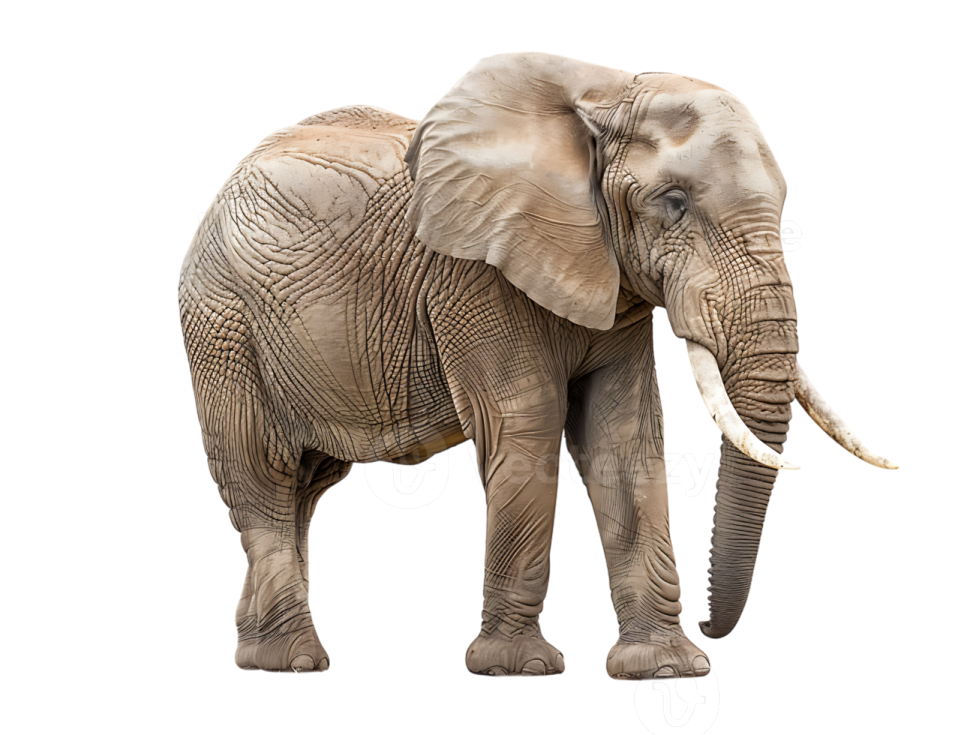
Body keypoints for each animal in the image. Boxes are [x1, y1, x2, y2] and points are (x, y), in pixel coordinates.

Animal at [178, 51, 898, 678]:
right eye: (673, 202)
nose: (711, 624)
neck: (606, 94)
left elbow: (623, 436)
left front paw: (666, 670)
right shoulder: (476, 275)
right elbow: (528, 425)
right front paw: (518, 669)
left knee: (306, 484)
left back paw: (266, 651)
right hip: (222, 320)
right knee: (263, 468)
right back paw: (291, 661)